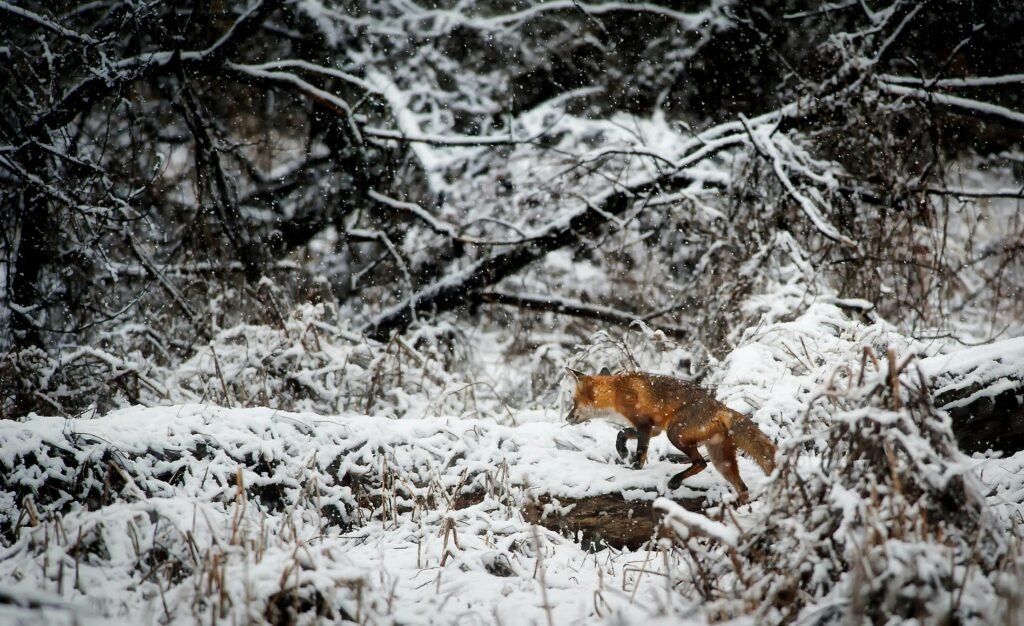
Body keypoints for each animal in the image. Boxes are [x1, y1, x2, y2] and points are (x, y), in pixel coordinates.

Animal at [565, 366, 770, 499]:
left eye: (574, 402)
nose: (567, 418)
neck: (616, 391)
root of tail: (720, 407)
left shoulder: (644, 425)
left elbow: (640, 452)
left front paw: (634, 469)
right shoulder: (653, 428)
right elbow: (622, 433)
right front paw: (622, 450)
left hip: (675, 434)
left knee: (701, 463)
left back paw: (675, 481)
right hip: (721, 461)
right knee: (742, 488)